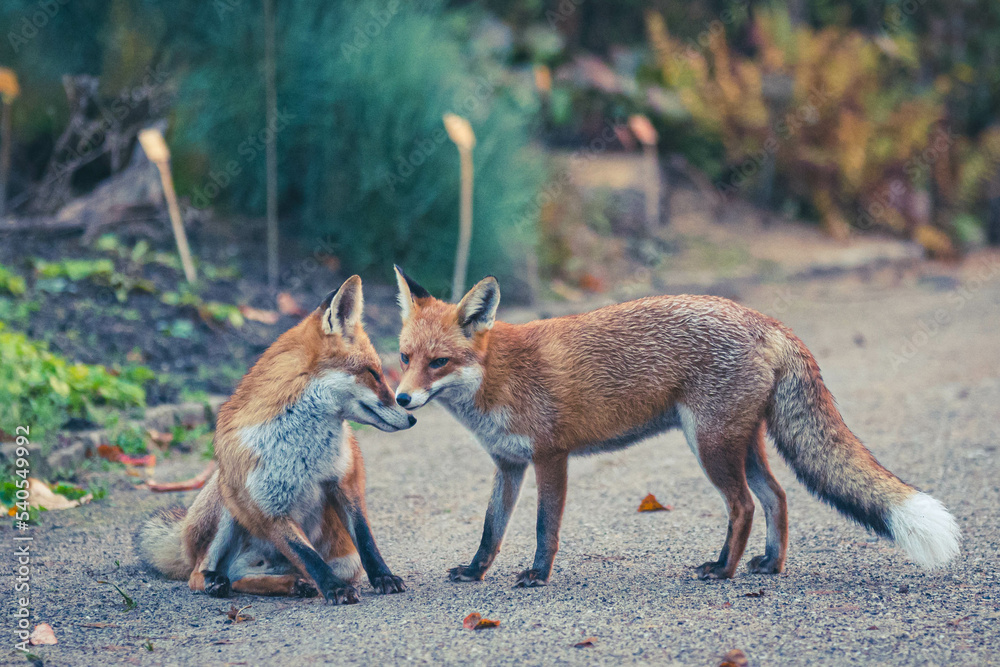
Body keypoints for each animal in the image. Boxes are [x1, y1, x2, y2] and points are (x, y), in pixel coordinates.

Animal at [139, 276, 412, 604]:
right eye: (373, 372)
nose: (411, 417)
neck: (303, 451)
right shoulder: (268, 508)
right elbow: (308, 557)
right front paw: (334, 588)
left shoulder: (346, 482)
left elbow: (367, 542)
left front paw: (383, 577)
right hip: (225, 497)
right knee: (200, 574)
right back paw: (216, 581)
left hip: (345, 560)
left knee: (241, 577)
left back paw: (294, 584)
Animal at [392, 268, 960, 588]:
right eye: (403, 358)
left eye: (439, 362)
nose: (401, 399)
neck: (499, 377)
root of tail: (764, 320)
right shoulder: (508, 464)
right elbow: (491, 529)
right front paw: (474, 572)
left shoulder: (551, 456)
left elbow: (543, 527)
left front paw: (537, 575)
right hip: (738, 443)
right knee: (777, 497)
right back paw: (768, 564)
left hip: (708, 444)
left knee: (744, 505)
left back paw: (722, 570)